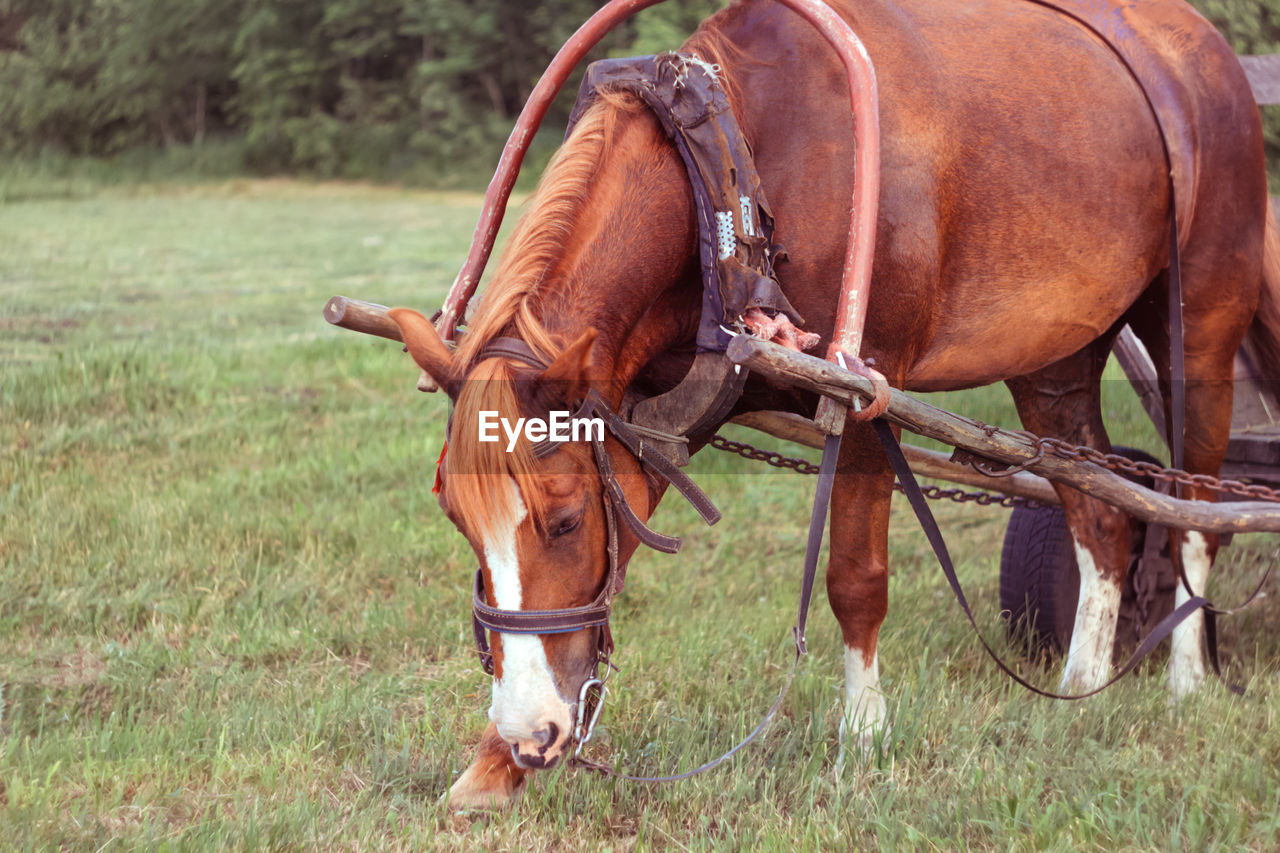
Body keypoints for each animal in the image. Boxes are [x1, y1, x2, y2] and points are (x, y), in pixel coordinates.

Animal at [386, 0, 1280, 804]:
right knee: (1100, 515)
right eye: (457, 517)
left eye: (566, 519)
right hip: (1056, 349)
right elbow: (613, 559)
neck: (734, 171)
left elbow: (854, 577)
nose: (530, 734)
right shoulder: (642, 407)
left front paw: (865, 737)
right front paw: (494, 761)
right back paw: (1082, 680)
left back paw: (1187, 673)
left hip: (1202, 323)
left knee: (1195, 510)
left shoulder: (863, 393)